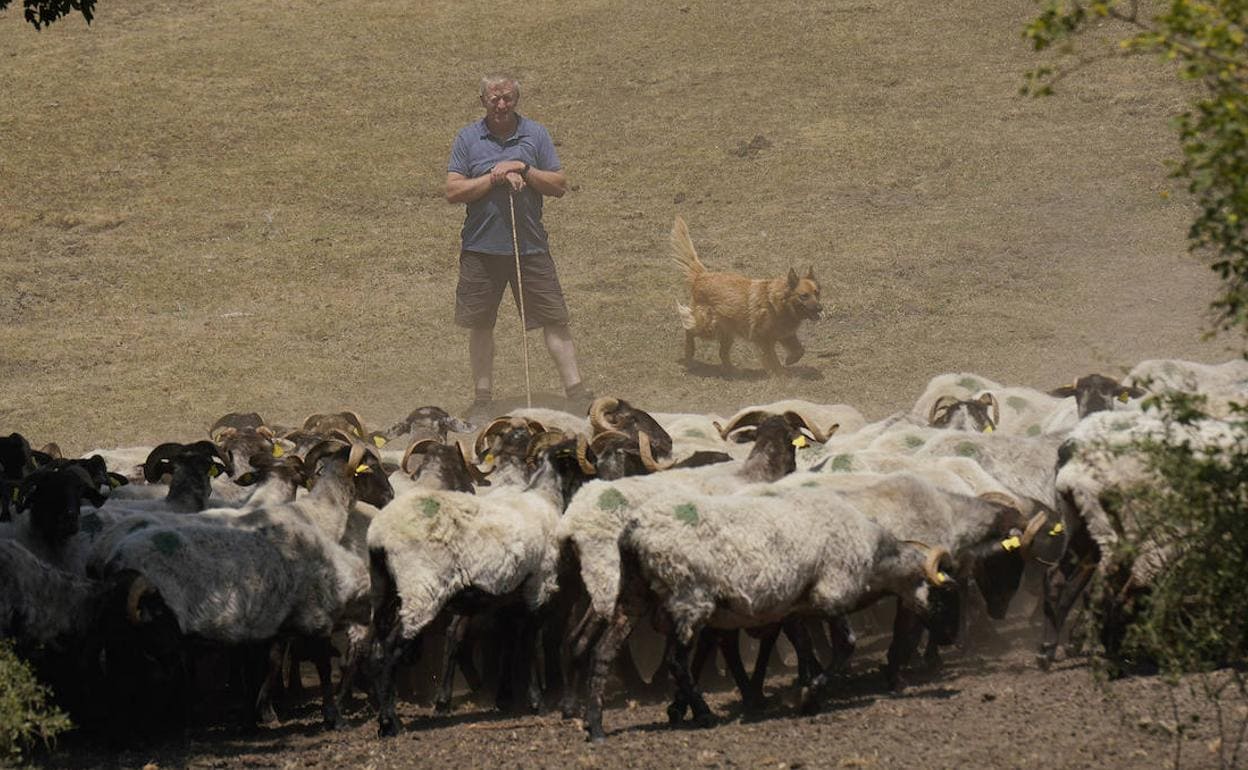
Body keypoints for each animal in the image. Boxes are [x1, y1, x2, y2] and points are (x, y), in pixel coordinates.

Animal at [673, 215, 818, 374]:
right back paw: (689, 354)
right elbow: (773, 360)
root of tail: (702, 275)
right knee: (689, 329)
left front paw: (790, 361)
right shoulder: (764, 339)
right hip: (709, 327)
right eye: (804, 295)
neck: (778, 304)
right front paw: (780, 374)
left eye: (817, 293)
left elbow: (800, 350)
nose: (820, 308)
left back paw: (733, 371)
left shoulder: (786, 334)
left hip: (727, 331)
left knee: (722, 353)